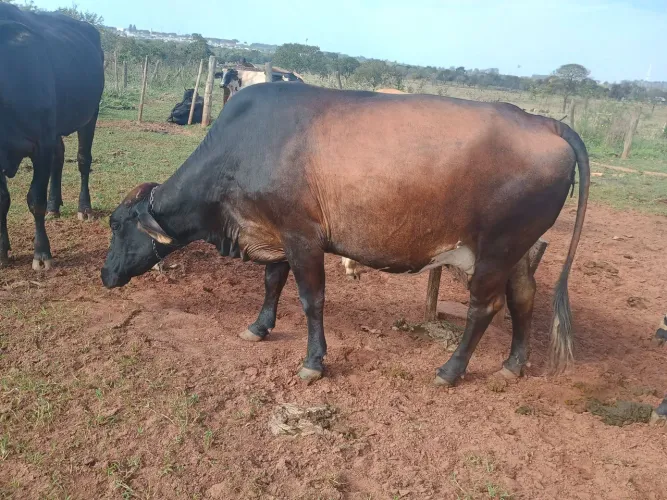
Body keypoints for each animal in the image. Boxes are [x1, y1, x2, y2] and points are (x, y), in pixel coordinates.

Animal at [0, 4, 104, 270]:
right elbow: (2, 200)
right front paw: (2, 250)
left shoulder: (41, 145)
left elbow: (34, 199)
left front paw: (42, 253)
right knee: (60, 157)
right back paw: (53, 206)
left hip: (90, 115)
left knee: (83, 160)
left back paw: (84, 208)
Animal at [101, 82, 590, 387]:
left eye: (117, 224)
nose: (105, 275)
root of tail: (543, 122)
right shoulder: (277, 234)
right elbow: (272, 281)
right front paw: (258, 327)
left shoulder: (302, 237)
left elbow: (310, 300)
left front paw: (313, 361)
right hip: (517, 249)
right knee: (523, 295)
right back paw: (513, 365)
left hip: (495, 249)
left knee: (483, 307)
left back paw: (450, 370)